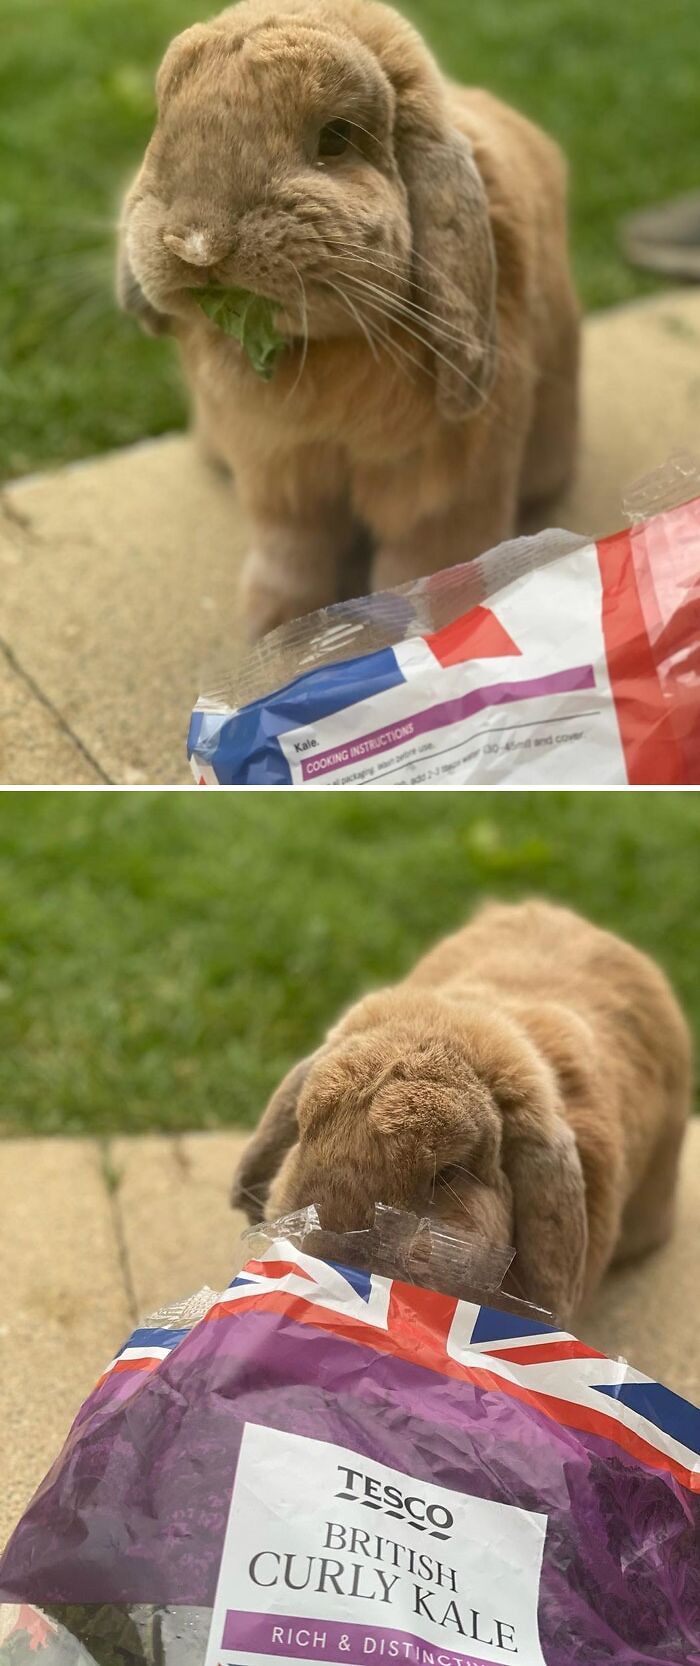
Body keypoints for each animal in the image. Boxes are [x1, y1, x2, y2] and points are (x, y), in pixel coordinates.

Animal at [117, 0, 580, 642]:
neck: (322, 353)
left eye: (335, 138)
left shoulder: (442, 488)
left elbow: (425, 563)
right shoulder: (279, 474)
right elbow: (290, 552)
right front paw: (272, 626)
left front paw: (424, 634)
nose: (196, 244)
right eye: (163, 125)